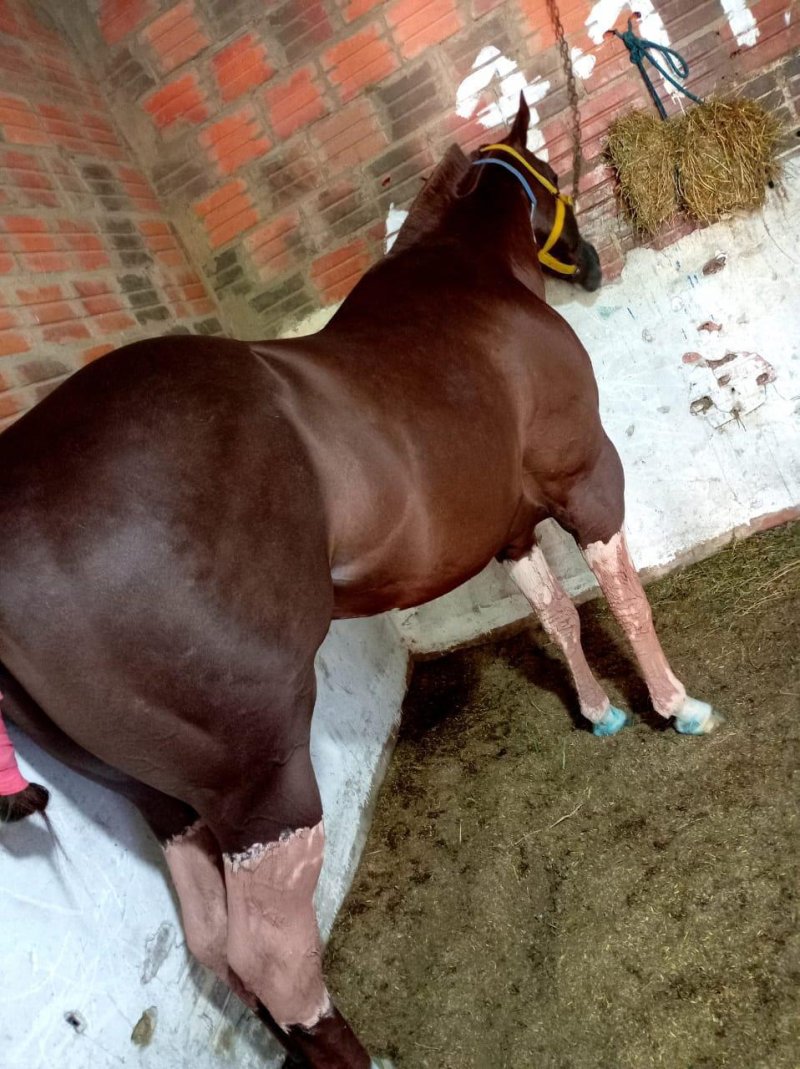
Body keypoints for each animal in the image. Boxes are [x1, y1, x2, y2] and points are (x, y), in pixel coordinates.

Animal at [0, 95, 720, 1068]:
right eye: (551, 178)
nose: (593, 261)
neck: (471, 286)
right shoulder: (587, 482)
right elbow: (624, 599)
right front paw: (675, 705)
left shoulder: (510, 532)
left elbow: (558, 618)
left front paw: (599, 709)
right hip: (263, 789)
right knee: (273, 958)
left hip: (168, 805)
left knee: (213, 947)